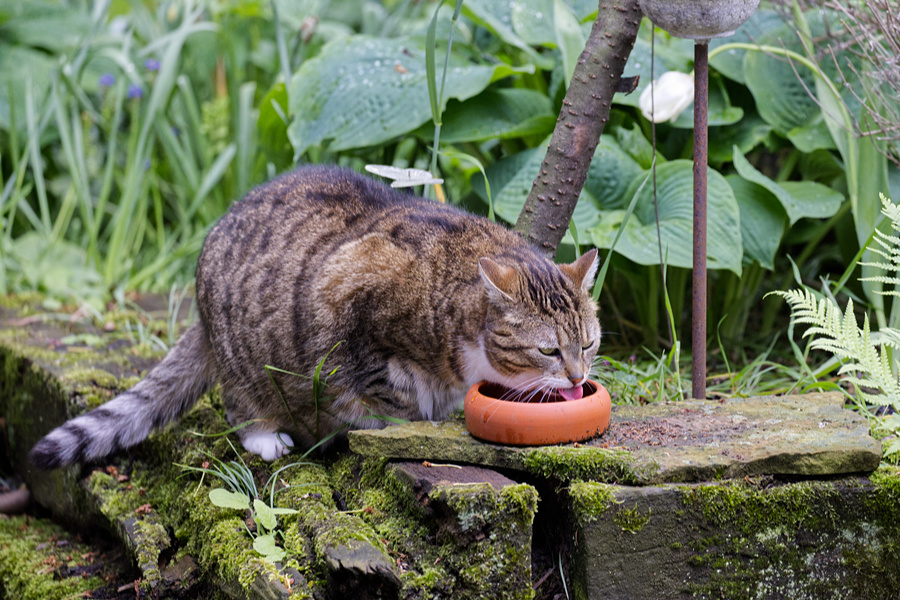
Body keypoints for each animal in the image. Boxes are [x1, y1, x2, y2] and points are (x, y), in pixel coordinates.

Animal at [30, 165, 601, 469]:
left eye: (590, 344)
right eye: (548, 349)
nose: (579, 378)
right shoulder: (352, 307)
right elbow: (392, 397)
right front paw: (421, 420)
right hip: (249, 362)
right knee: (240, 402)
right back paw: (267, 435)